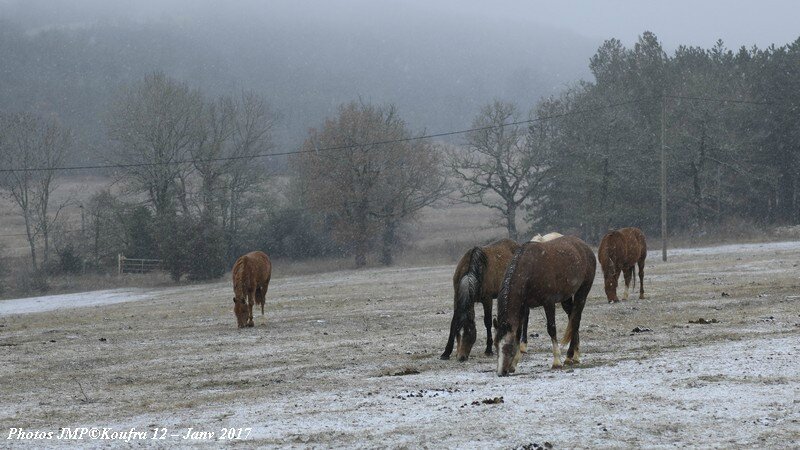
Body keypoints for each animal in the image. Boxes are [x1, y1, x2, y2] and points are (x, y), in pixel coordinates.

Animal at [490, 236, 596, 376]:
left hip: (582, 293)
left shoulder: (548, 303)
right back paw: (575, 355)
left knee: (576, 320)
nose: (501, 372)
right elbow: (518, 332)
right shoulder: (523, 307)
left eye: (508, 346)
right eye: (495, 344)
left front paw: (557, 362)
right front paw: (514, 364)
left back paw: (569, 356)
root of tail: (584, 246)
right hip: (566, 298)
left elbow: (551, 329)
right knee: (572, 319)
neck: (530, 270)